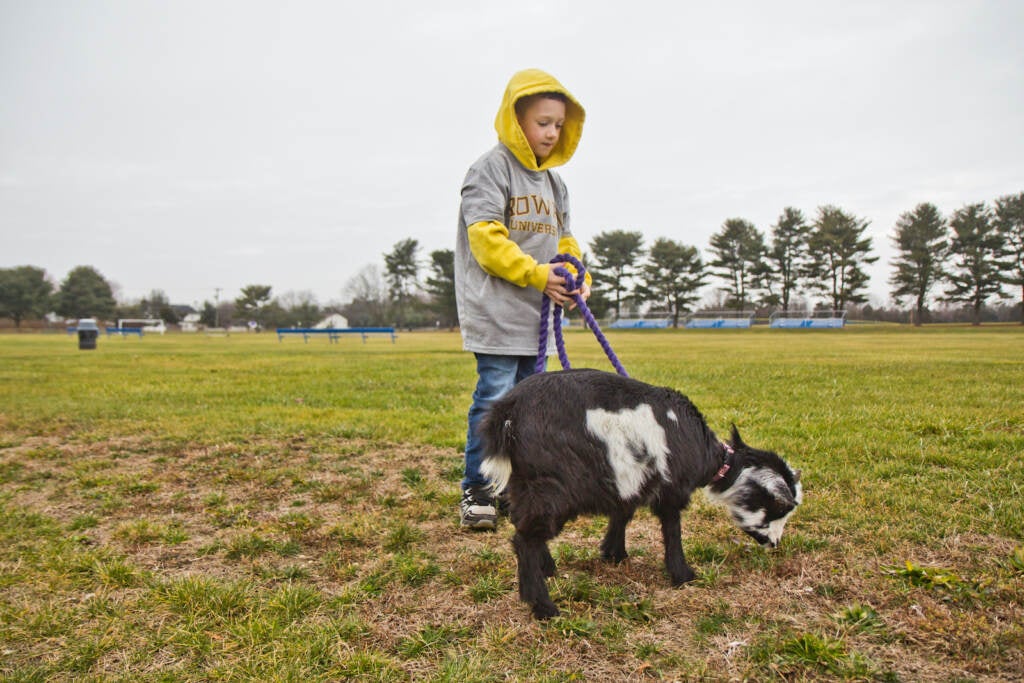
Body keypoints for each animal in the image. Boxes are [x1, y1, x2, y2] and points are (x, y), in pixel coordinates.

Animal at [475, 368, 802, 618]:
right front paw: (683, 575)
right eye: (778, 509)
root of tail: (509, 412)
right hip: (553, 485)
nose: (775, 544)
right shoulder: (671, 489)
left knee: (525, 527)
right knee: (525, 540)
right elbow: (672, 529)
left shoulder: (629, 481)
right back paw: (543, 607)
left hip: (525, 483)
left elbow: (622, 514)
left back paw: (547, 570)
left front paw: (614, 554)